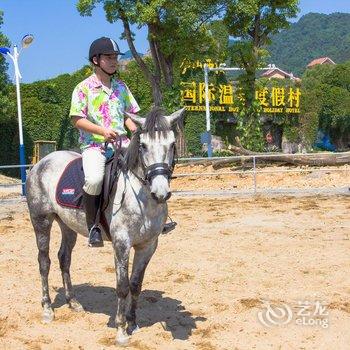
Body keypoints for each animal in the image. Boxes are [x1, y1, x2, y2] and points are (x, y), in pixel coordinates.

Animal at [27, 106, 185, 344]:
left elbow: (135, 284)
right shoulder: (121, 244)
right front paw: (120, 331)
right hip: (41, 220)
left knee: (64, 258)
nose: (160, 193)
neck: (140, 198)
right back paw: (47, 309)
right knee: (44, 262)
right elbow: (122, 286)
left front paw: (133, 323)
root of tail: (41, 162)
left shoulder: (148, 245)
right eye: (143, 145)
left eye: (172, 144)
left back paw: (73, 302)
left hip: (68, 225)